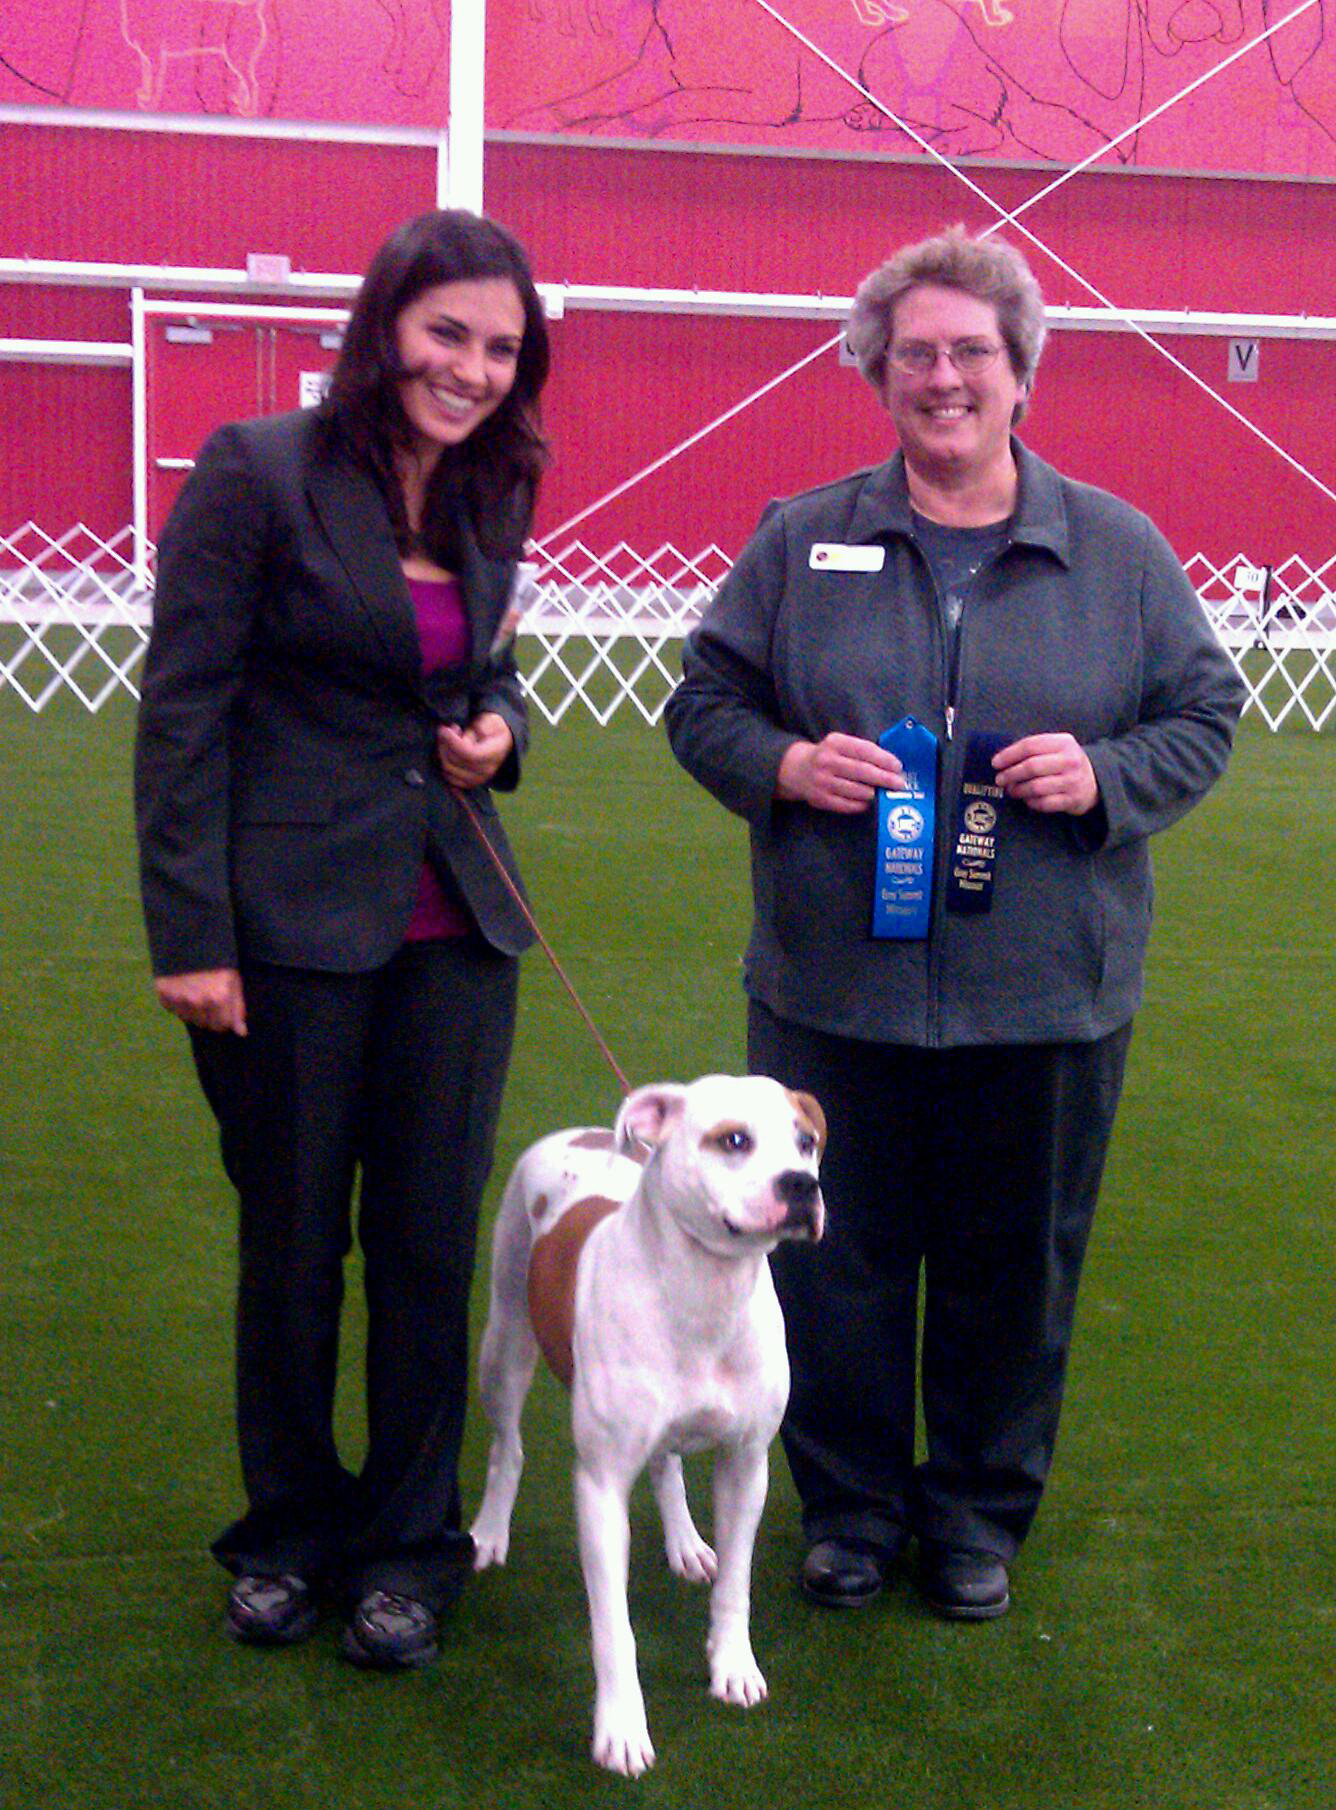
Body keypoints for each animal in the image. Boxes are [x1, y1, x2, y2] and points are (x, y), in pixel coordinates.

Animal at [467, 1078, 821, 1773]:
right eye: (734, 1140)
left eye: (806, 1142)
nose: (801, 1184)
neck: (707, 1291)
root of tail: (579, 1134)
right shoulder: (601, 1487)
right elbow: (614, 1627)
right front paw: (621, 1728)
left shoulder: (746, 1464)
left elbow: (736, 1584)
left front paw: (732, 1666)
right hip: (505, 1341)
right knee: (508, 1448)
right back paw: (490, 1532)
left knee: (666, 1466)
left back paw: (685, 1543)